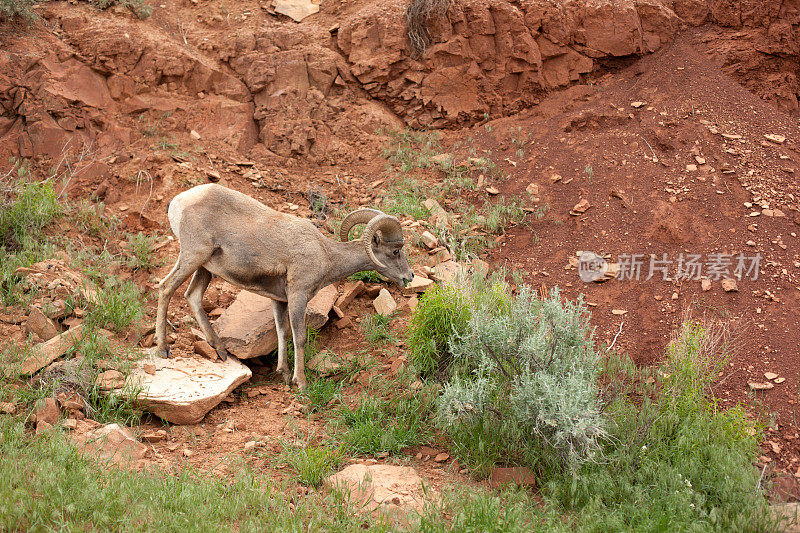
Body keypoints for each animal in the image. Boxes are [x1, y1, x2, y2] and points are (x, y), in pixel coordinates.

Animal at [158, 185, 418, 388]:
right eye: (395, 251)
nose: (410, 276)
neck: (326, 255)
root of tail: (179, 201)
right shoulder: (297, 297)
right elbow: (299, 337)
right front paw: (300, 382)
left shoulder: (279, 300)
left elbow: (281, 332)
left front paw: (282, 374)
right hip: (193, 255)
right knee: (165, 288)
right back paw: (163, 349)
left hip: (204, 267)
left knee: (193, 296)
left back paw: (221, 351)